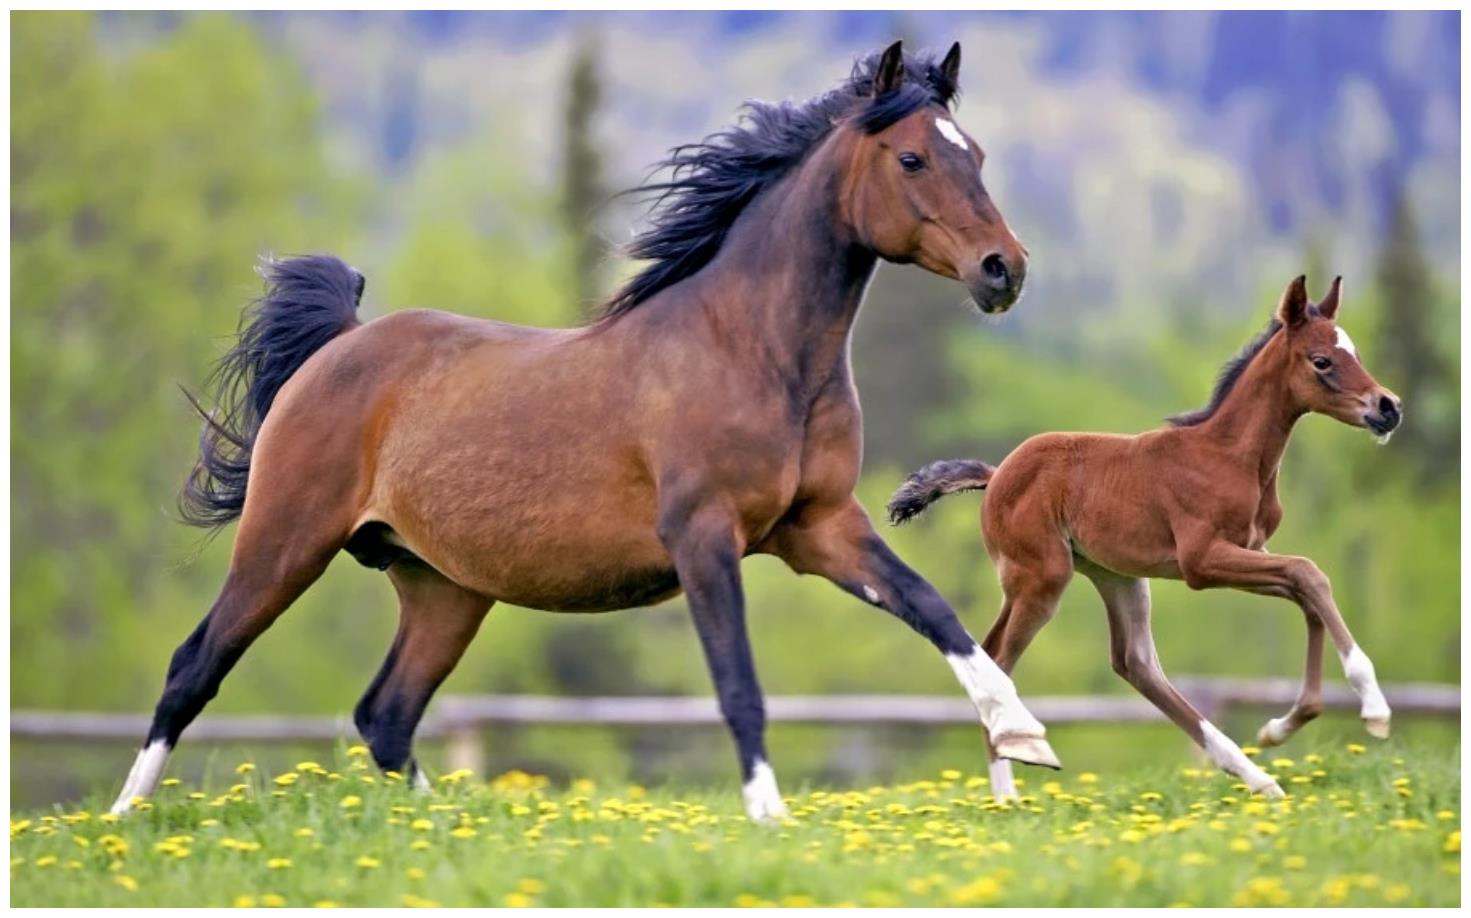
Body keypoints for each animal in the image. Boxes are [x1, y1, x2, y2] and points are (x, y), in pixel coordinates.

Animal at [111, 39, 1059, 823]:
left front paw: (1024, 737)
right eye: (912, 156)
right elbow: (738, 682)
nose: (1003, 271)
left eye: (973, 153)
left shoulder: (818, 527)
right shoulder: (704, 536)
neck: (751, 351)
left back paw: (452, 823)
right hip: (286, 540)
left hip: (442, 587)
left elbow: (934, 610)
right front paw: (769, 817)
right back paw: (122, 820)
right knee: (195, 666)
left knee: (386, 714)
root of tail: (339, 346)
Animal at [882, 276, 1400, 800]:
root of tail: (996, 475)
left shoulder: (1248, 551)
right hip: (1042, 578)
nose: (1388, 407)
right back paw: (1010, 788)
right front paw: (1374, 708)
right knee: (1001, 658)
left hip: (1117, 576)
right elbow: (1309, 574)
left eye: (1355, 352)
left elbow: (1306, 591)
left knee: (1135, 664)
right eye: (1322, 360)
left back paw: (1256, 777)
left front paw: (1281, 726)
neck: (1229, 456)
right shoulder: (1202, 561)